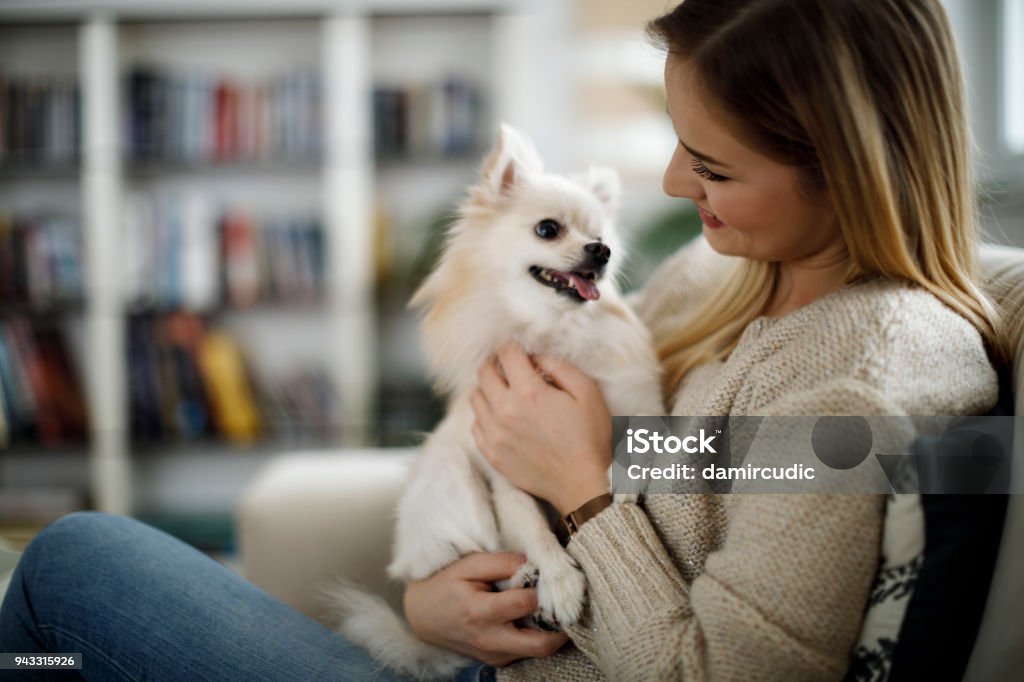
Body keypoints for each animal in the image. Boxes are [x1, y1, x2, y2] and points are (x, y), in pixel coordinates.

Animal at [327, 124, 663, 675]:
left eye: (603, 238)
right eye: (548, 229)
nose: (601, 251)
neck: (552, 333)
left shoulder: (641, 400)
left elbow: (637, 439)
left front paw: (624, 482)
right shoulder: (507, 477)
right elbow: (533, 527)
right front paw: (559, 581)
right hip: (452, 478)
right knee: (483, 557)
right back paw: (526, 581)